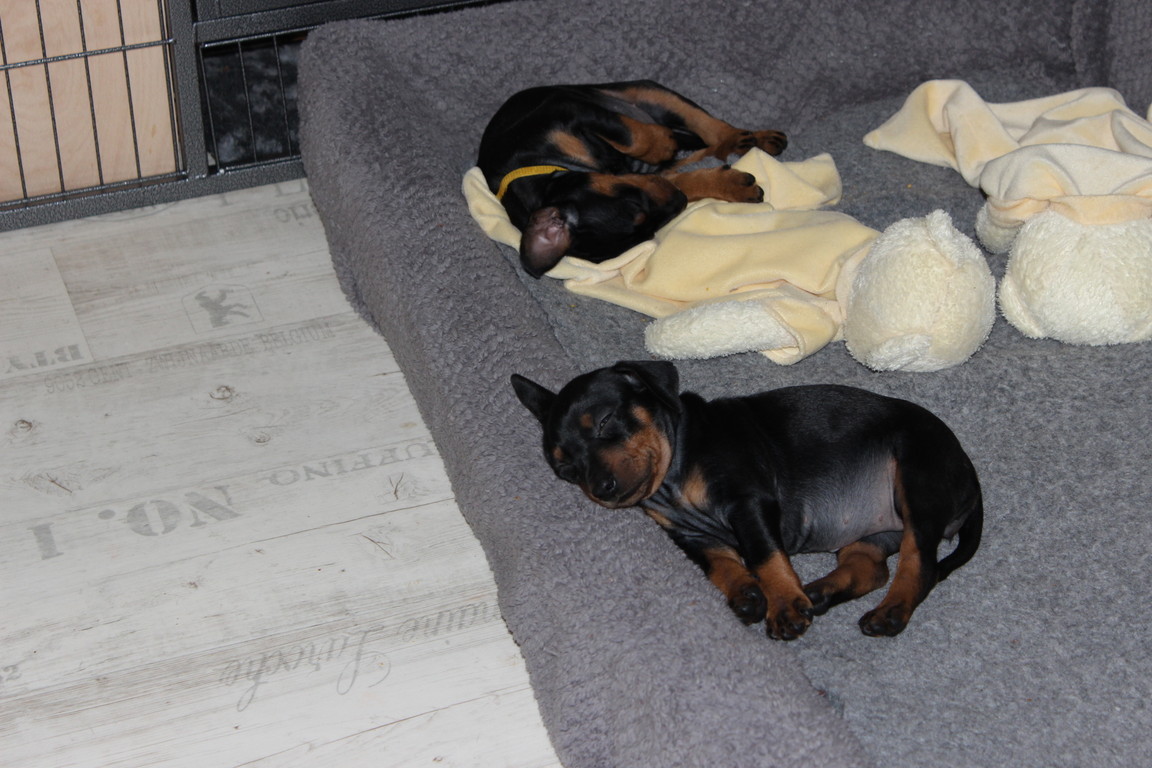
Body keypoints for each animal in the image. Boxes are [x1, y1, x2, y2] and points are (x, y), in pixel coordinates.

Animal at [478, 80, 787, 277]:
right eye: (647, 233)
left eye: (634, 205)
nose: (679, 203)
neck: (537, 165)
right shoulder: (656, 179)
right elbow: (684, 180)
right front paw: (731, 185)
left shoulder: (568, 109)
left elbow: (637, 136)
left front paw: (663, 142)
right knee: (708, 150)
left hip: (646, 92)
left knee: (711, 127)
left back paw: (752, 138)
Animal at [510, 361, 983, 639]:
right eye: (565, 470)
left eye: (606, 421)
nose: (601, 489)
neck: (674, 478)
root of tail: (969, 472)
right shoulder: (689, 537)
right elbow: (720, 564)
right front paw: (748, 593)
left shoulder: (748, 503)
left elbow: (763, 555)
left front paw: (784, 605)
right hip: (876, 532)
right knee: (871, 567)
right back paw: (820, 591)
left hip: (916, 483)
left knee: (919, 565)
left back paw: (889, 612)